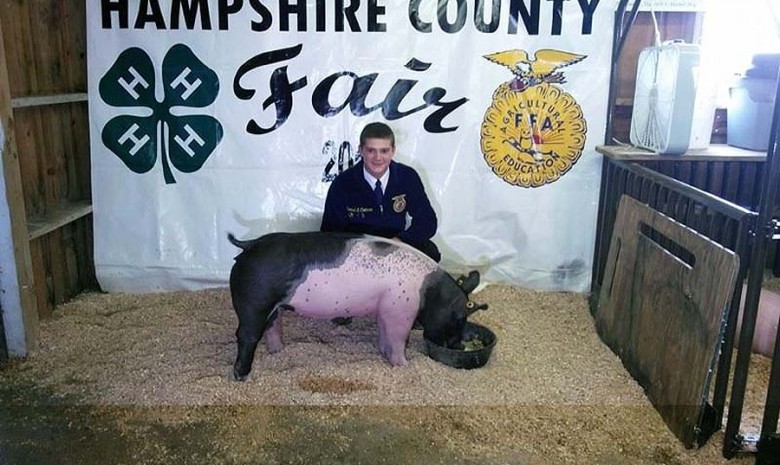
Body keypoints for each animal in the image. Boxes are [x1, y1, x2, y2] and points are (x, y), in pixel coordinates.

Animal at [227, 232, 488, 380]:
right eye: (459, 318)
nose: (457, 346)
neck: (429, 291)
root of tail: (250, 244)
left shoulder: (386, 308)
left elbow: (385, 334)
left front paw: (384, 354)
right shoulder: (401, 307)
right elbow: (397, 338)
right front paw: (403, 366)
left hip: (273, 306)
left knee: (272, 327)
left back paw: (277, 352)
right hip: (254, 303)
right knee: (246, 335)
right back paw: (242, 376)